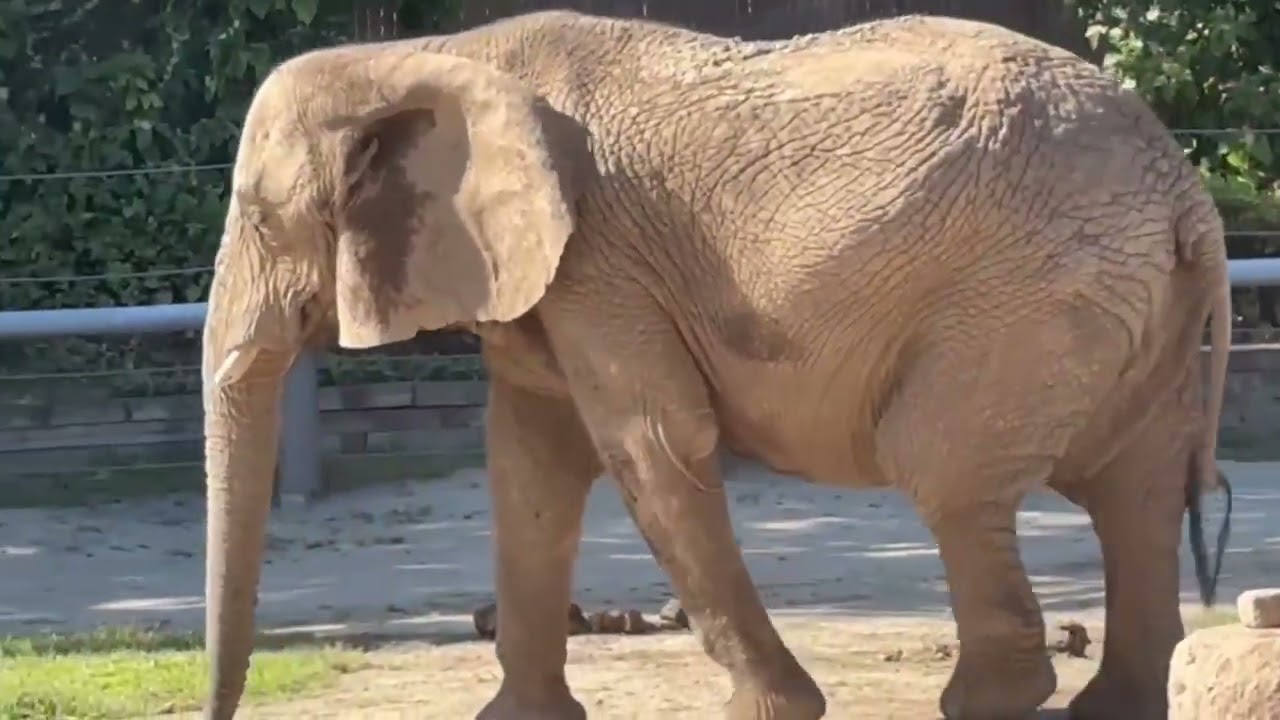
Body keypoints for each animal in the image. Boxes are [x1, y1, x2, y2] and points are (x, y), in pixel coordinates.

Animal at [199, 10, 1235, 720]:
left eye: (256, 214)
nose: (223, 709)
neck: (434, 50)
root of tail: (1188, 192)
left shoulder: (600, 263)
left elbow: (652, 443)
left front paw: (776, 714)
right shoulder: (553, 285)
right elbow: (532, 467)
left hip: (1029, 300)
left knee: (945, 467)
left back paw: (985, 702)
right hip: (1126, 305)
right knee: (1135, 489)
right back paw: (1112, 705)